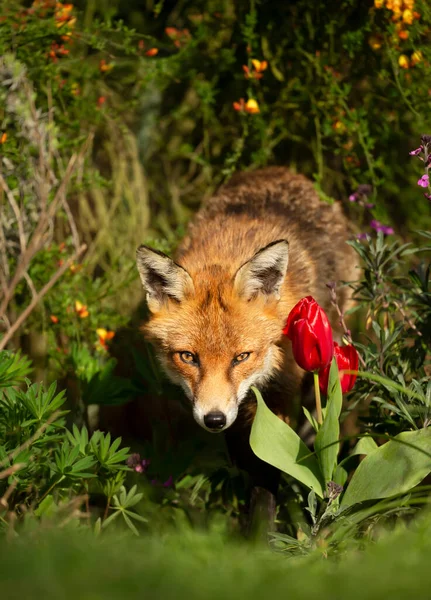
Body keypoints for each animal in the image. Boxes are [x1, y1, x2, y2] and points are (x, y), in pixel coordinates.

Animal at [138, 169, 358, 516]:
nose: (214, 419)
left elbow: (268, 470)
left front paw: (261, 524)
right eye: (188, 357)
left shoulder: (278, 397)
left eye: (241, 357)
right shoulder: (235, 416)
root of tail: (279, 170)